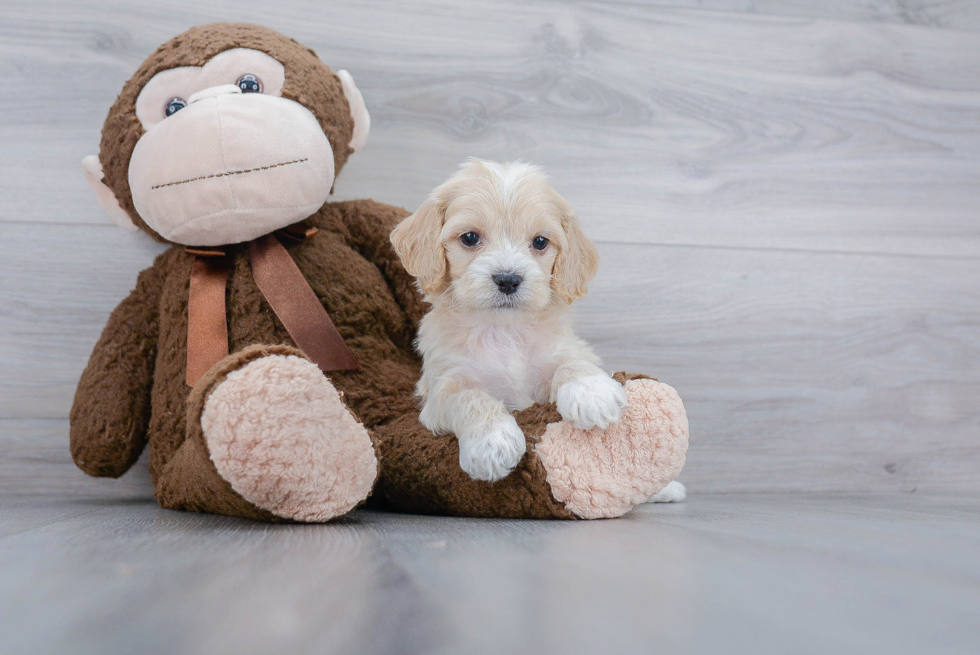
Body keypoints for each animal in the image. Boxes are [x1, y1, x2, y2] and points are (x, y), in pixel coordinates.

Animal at [390, 159, 628, 482]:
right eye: (469, 238)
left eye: (540, 242)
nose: (508, 279)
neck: (503, 330)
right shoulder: (440, 395)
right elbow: (469, 398)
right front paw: (491, 442)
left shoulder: (558, 357)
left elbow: (573, 362)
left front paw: (591, 391)